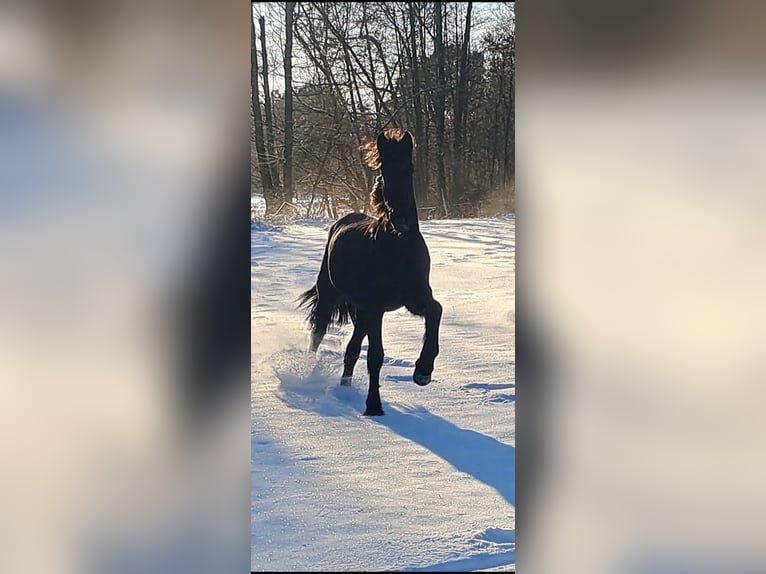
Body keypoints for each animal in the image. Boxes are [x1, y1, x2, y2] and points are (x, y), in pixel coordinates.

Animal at [298, 128, 443, 416]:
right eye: (384, 170)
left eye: (409, 168)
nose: (402, 220)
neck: (398, 247)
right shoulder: (377, 308)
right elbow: (376, 356)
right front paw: (373, 405)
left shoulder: (415, 299)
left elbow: (436, 310)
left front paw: (423, 371)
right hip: (331, 297)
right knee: (318, 333)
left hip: (359, 311)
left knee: (352, 349)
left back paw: (345, 388)